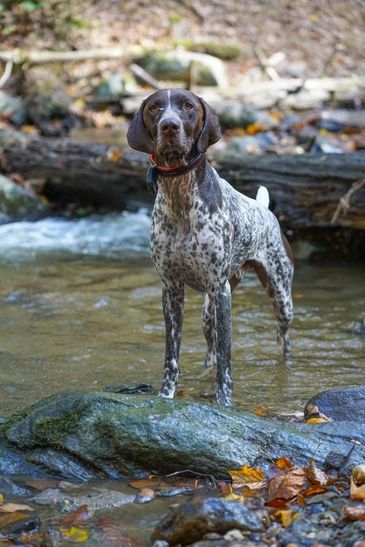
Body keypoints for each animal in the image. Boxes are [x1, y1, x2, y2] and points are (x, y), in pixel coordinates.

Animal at [126, 91, 292, 406]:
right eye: (155, 108)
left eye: (188, 106)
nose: (169, 126)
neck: (180, 195)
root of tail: (264, 209)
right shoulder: (171, 290)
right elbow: (172, 355)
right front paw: (166, 395)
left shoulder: (220, 291)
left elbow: (226, 360)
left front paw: (225, 402)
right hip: (207, 312)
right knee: (210, 353)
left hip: (280, 297)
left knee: (283, 339)